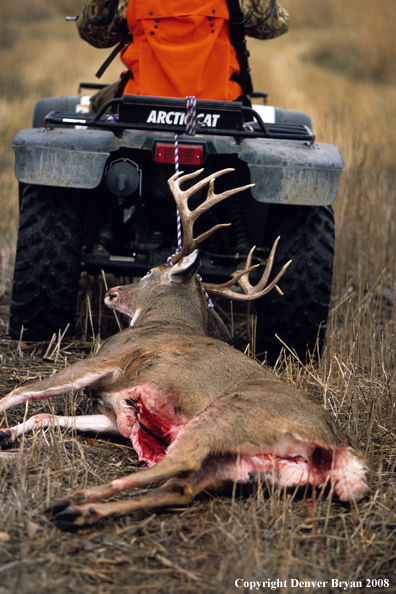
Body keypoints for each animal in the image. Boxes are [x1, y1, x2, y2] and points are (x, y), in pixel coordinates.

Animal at [0, 168, 372, 528]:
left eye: (149, 272)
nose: (112, 292)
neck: (160, 320)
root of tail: (340, 445)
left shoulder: (108, 357)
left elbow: (24, 390)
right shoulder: (114, 414)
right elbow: (45, 415)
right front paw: (6, 433)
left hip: (225, 416)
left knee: (179, 463)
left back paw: (71, 501)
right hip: (244, 465)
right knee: (180, 489)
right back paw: (79, 512)